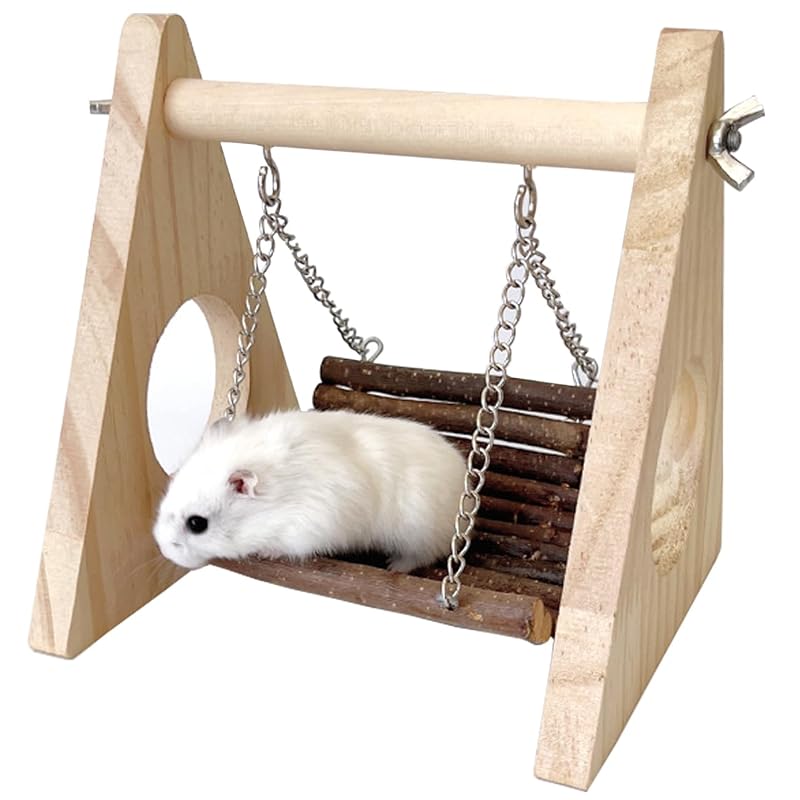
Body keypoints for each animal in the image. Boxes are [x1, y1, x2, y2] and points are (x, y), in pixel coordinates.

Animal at [152, 409, 466, 572]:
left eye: (197, 524)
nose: (164, 549)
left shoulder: (308, 527)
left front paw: (266, 553)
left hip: (418, 532)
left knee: (421, 556)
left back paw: (393, 566)